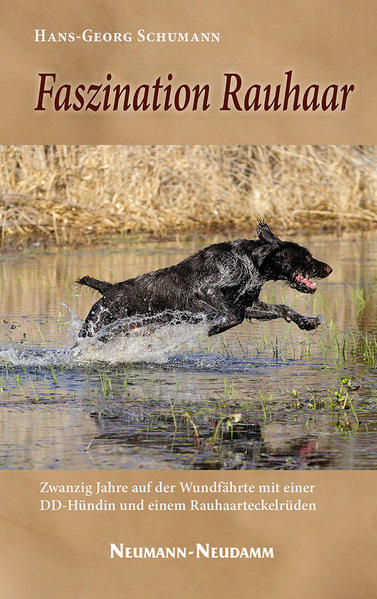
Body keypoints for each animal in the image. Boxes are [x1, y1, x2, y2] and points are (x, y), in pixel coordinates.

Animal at [78, 223, 330, 340]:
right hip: (93, 327)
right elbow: (234, 316)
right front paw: (215, 328)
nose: (329, 269)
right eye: (306, 256)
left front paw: (305, 321)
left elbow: (282, 308)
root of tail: (109, 289)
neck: (251, 262)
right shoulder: (207, 290)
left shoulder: (247, 304)